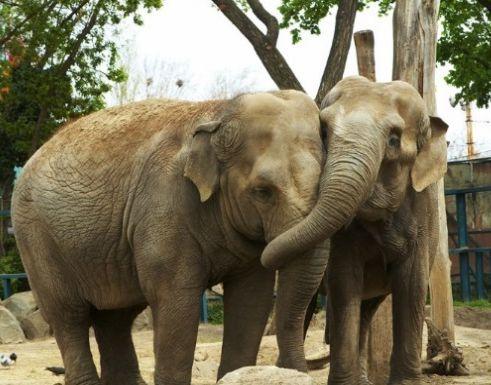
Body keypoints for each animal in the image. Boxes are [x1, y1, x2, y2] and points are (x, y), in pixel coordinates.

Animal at [11, 91, 328, 384]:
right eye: (263, 192)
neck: (220, 109)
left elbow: (252, 299)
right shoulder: (163, 207)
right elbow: (176, 300)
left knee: (116, 317)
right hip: (35, 238)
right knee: (69, 316)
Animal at [266, 77, 450, 384]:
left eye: (393, 140)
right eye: (324, 131)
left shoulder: (423, 211)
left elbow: (412, 284)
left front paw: (405, 382)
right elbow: (344, 281)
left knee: (367, 308)